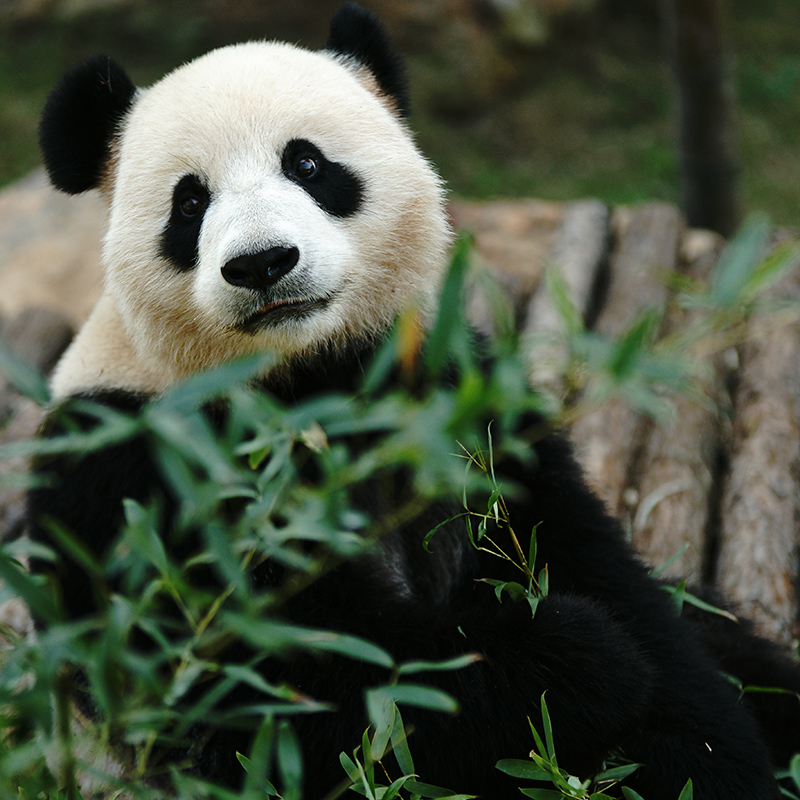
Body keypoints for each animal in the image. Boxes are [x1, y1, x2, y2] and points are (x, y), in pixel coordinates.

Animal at [28, 3, 800, 796]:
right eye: (189, 202)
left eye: (306, 164)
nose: (263, 263)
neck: (310, 380)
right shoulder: (137, 472)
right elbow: (306, 696)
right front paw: (573, 659)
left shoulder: (453, 402)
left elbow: (606, 581)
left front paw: (704, 755)